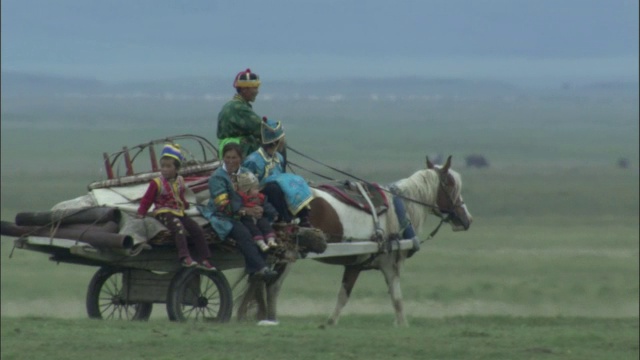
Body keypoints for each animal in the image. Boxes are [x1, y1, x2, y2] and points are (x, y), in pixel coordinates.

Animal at [235, 155, 470, 326]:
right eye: (450, 184)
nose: (467, 219)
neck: (400, 209)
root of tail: (268, 188)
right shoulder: (390, 264)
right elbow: (397, 299)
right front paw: (402, 325)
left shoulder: (355, 264)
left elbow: (343, 296)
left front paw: (329, 324)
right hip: (288, 255)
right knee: (272, 286)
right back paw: (269, 318)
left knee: (261, 280)